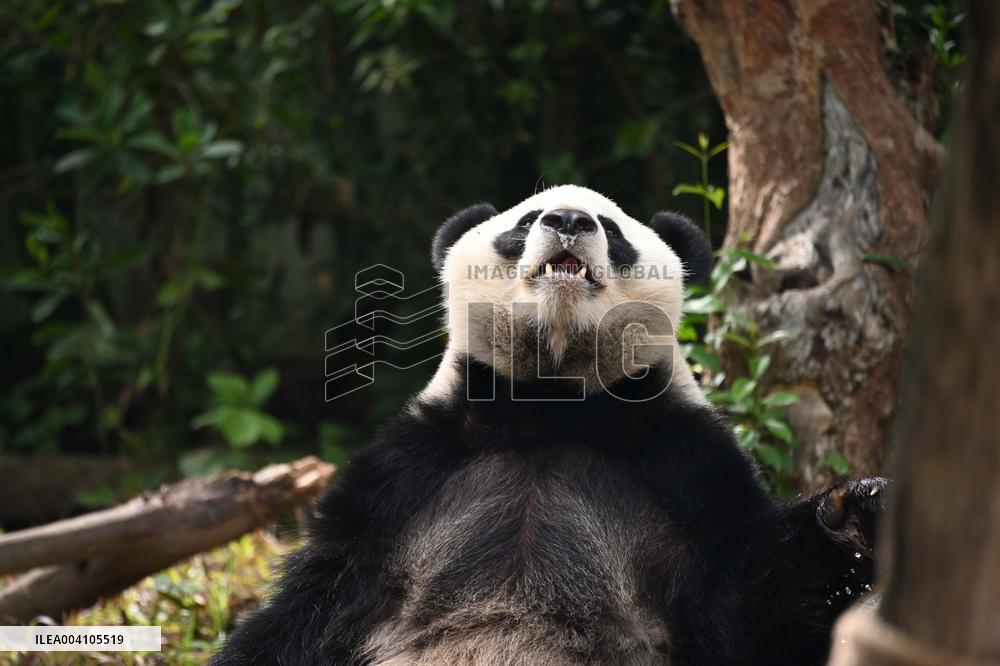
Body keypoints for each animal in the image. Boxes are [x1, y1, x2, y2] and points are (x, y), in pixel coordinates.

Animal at [212, 185, 885, 666]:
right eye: (525, 219)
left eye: (612, 229)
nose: (568, 220)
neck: (550, 407)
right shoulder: (409, 475)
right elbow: (312, 609)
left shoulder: (684, 463)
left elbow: (750, 608)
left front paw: (852, 513)